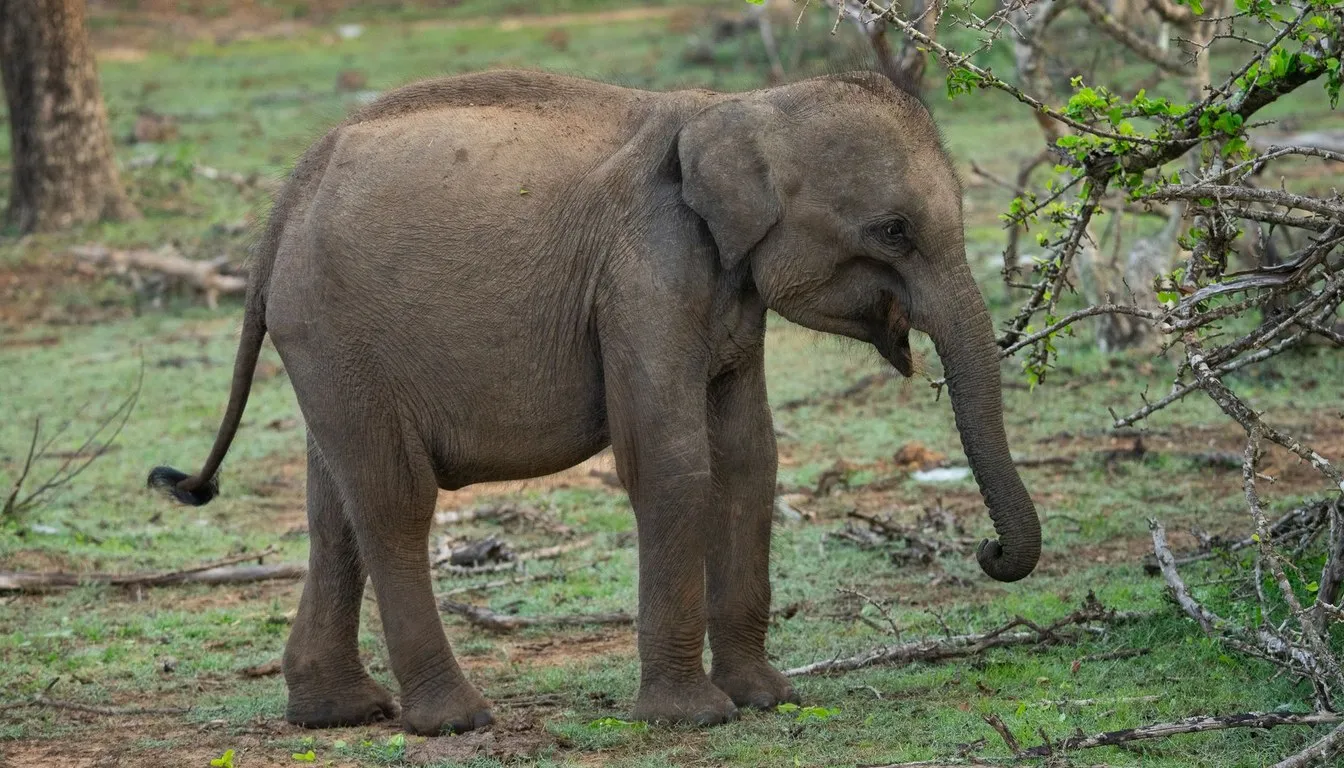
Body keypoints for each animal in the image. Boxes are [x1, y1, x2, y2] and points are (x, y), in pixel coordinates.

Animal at [148, 69, 1041, 736]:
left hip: (325, 346)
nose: (989, 552)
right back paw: (457, 720)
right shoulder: (644, 270)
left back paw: (339, 713)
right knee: (394, 500)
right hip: (337, 331)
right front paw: (693, 718)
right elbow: (671, 461)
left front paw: (768, 699)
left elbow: (751, 458)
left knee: (333, 504)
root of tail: (284, 202)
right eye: (892, 230)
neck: (738, 106)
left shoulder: (725, 290)